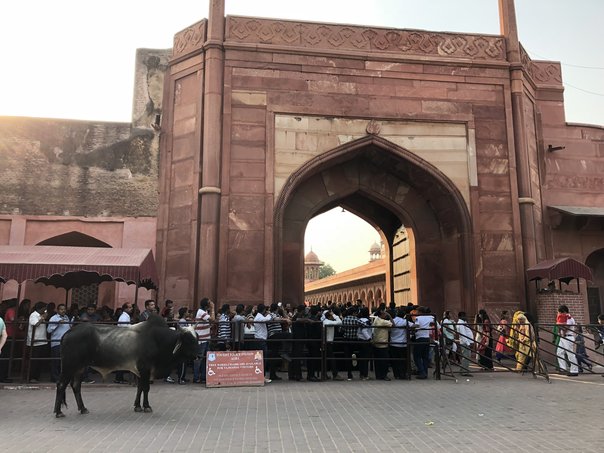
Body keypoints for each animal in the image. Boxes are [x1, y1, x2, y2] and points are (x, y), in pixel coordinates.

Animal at [53, 314, 197, 418]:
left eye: (196, 338)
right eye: (188, 340)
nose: (198, 354)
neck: (158, 340)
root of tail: (68, 333)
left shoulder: (140, 371)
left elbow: (140, 388)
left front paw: (137, 406)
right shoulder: (145, 368)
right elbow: (146, 388)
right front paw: (147, 406)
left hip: (80, 368)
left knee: (76, 386)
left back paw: (83, 408)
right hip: (69, 366)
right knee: (61, 384)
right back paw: (58, 412)